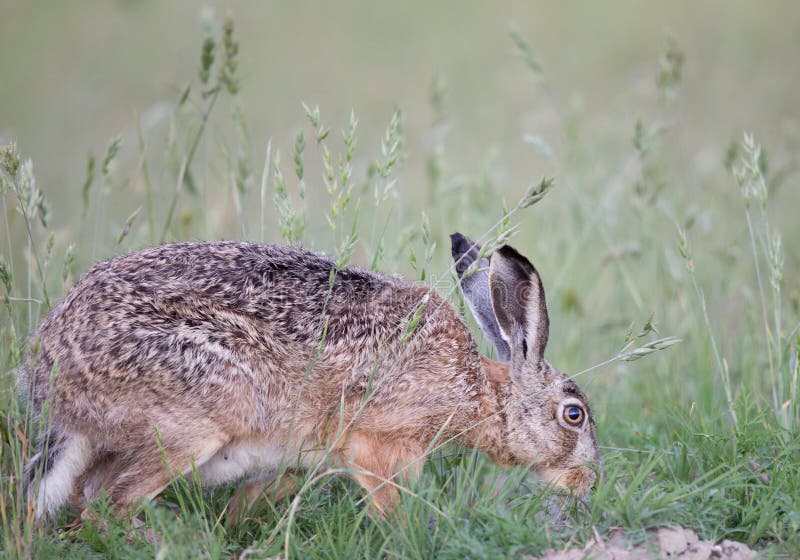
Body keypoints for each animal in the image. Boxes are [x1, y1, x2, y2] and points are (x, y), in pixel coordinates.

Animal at [21, 235, 599, 520]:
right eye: (573, 415)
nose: (588, 484)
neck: (477, 390)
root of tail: (51, 378)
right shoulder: (375, 445)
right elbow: (392, 512)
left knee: (86, 495)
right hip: (196, 419)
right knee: (109, 504)